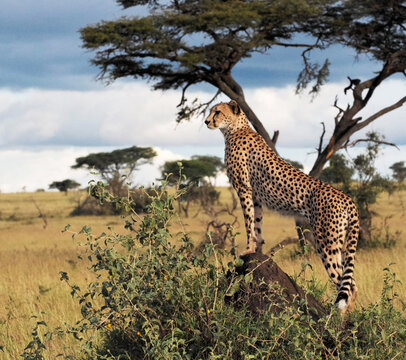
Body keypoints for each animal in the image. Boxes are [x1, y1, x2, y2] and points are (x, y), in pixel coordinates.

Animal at [206, 100, 358, 312]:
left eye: (217, 112)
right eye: (211, 111)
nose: (206, 121)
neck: (235, 129)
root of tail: (347, 197)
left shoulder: (244, 188)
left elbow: (248, 222)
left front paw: (247, 249)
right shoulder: (256, 196)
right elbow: (257, 223)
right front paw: (258, 250)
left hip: (327, 242)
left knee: (346, 285)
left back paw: (336, 318)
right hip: (340, 240)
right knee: (351, 283)